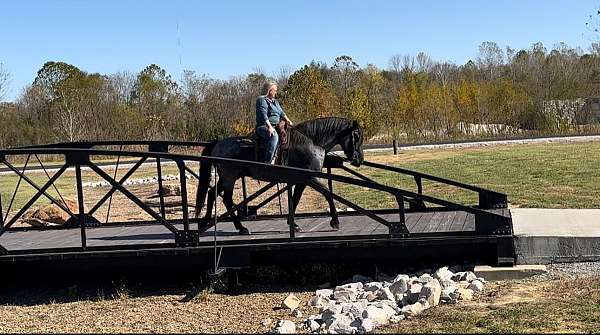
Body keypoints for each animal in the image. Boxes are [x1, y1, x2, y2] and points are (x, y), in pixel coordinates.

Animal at [196, 118, 366, 236]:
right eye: (357, 136)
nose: (359, 159)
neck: (311, 143)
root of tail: (218, 143)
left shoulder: (301, 180)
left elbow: (295, 199)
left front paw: (293, 224)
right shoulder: (310, 178)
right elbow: (327, 193)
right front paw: (335, 221)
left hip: (227, 178)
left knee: (211, 194)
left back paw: (204, 223)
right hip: (229, 178)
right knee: (226, 199)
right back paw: (241, 228)